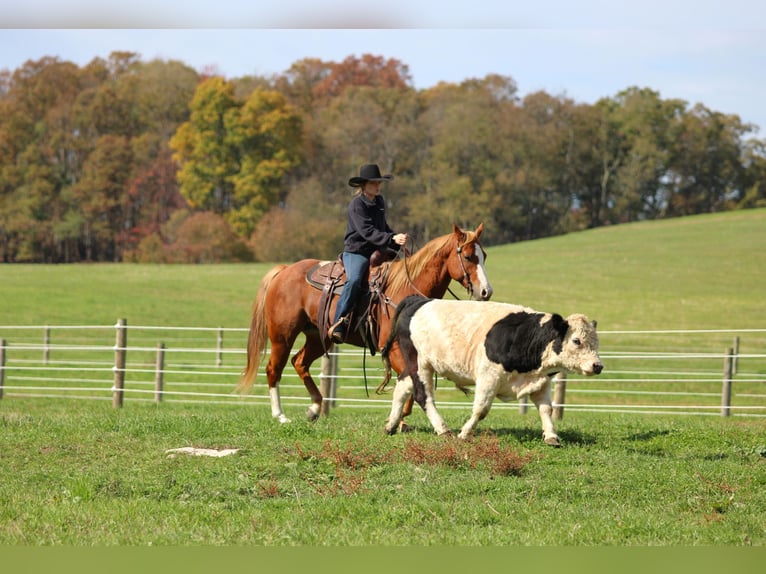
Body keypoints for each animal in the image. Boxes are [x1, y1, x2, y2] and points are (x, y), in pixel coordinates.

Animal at [237, 224, 493, 423]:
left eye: (484, 255)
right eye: (468, 256)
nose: (486, 291)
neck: (405, 290)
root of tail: (284, 271)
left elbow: (413, 380)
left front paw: (401, 416)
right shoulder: (392, 348)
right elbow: (410, 380)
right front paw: (400, 417)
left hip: (318, 337)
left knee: (299, 362)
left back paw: (314, 408)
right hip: (282, 335)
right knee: (274, 369)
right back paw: (280, 415)